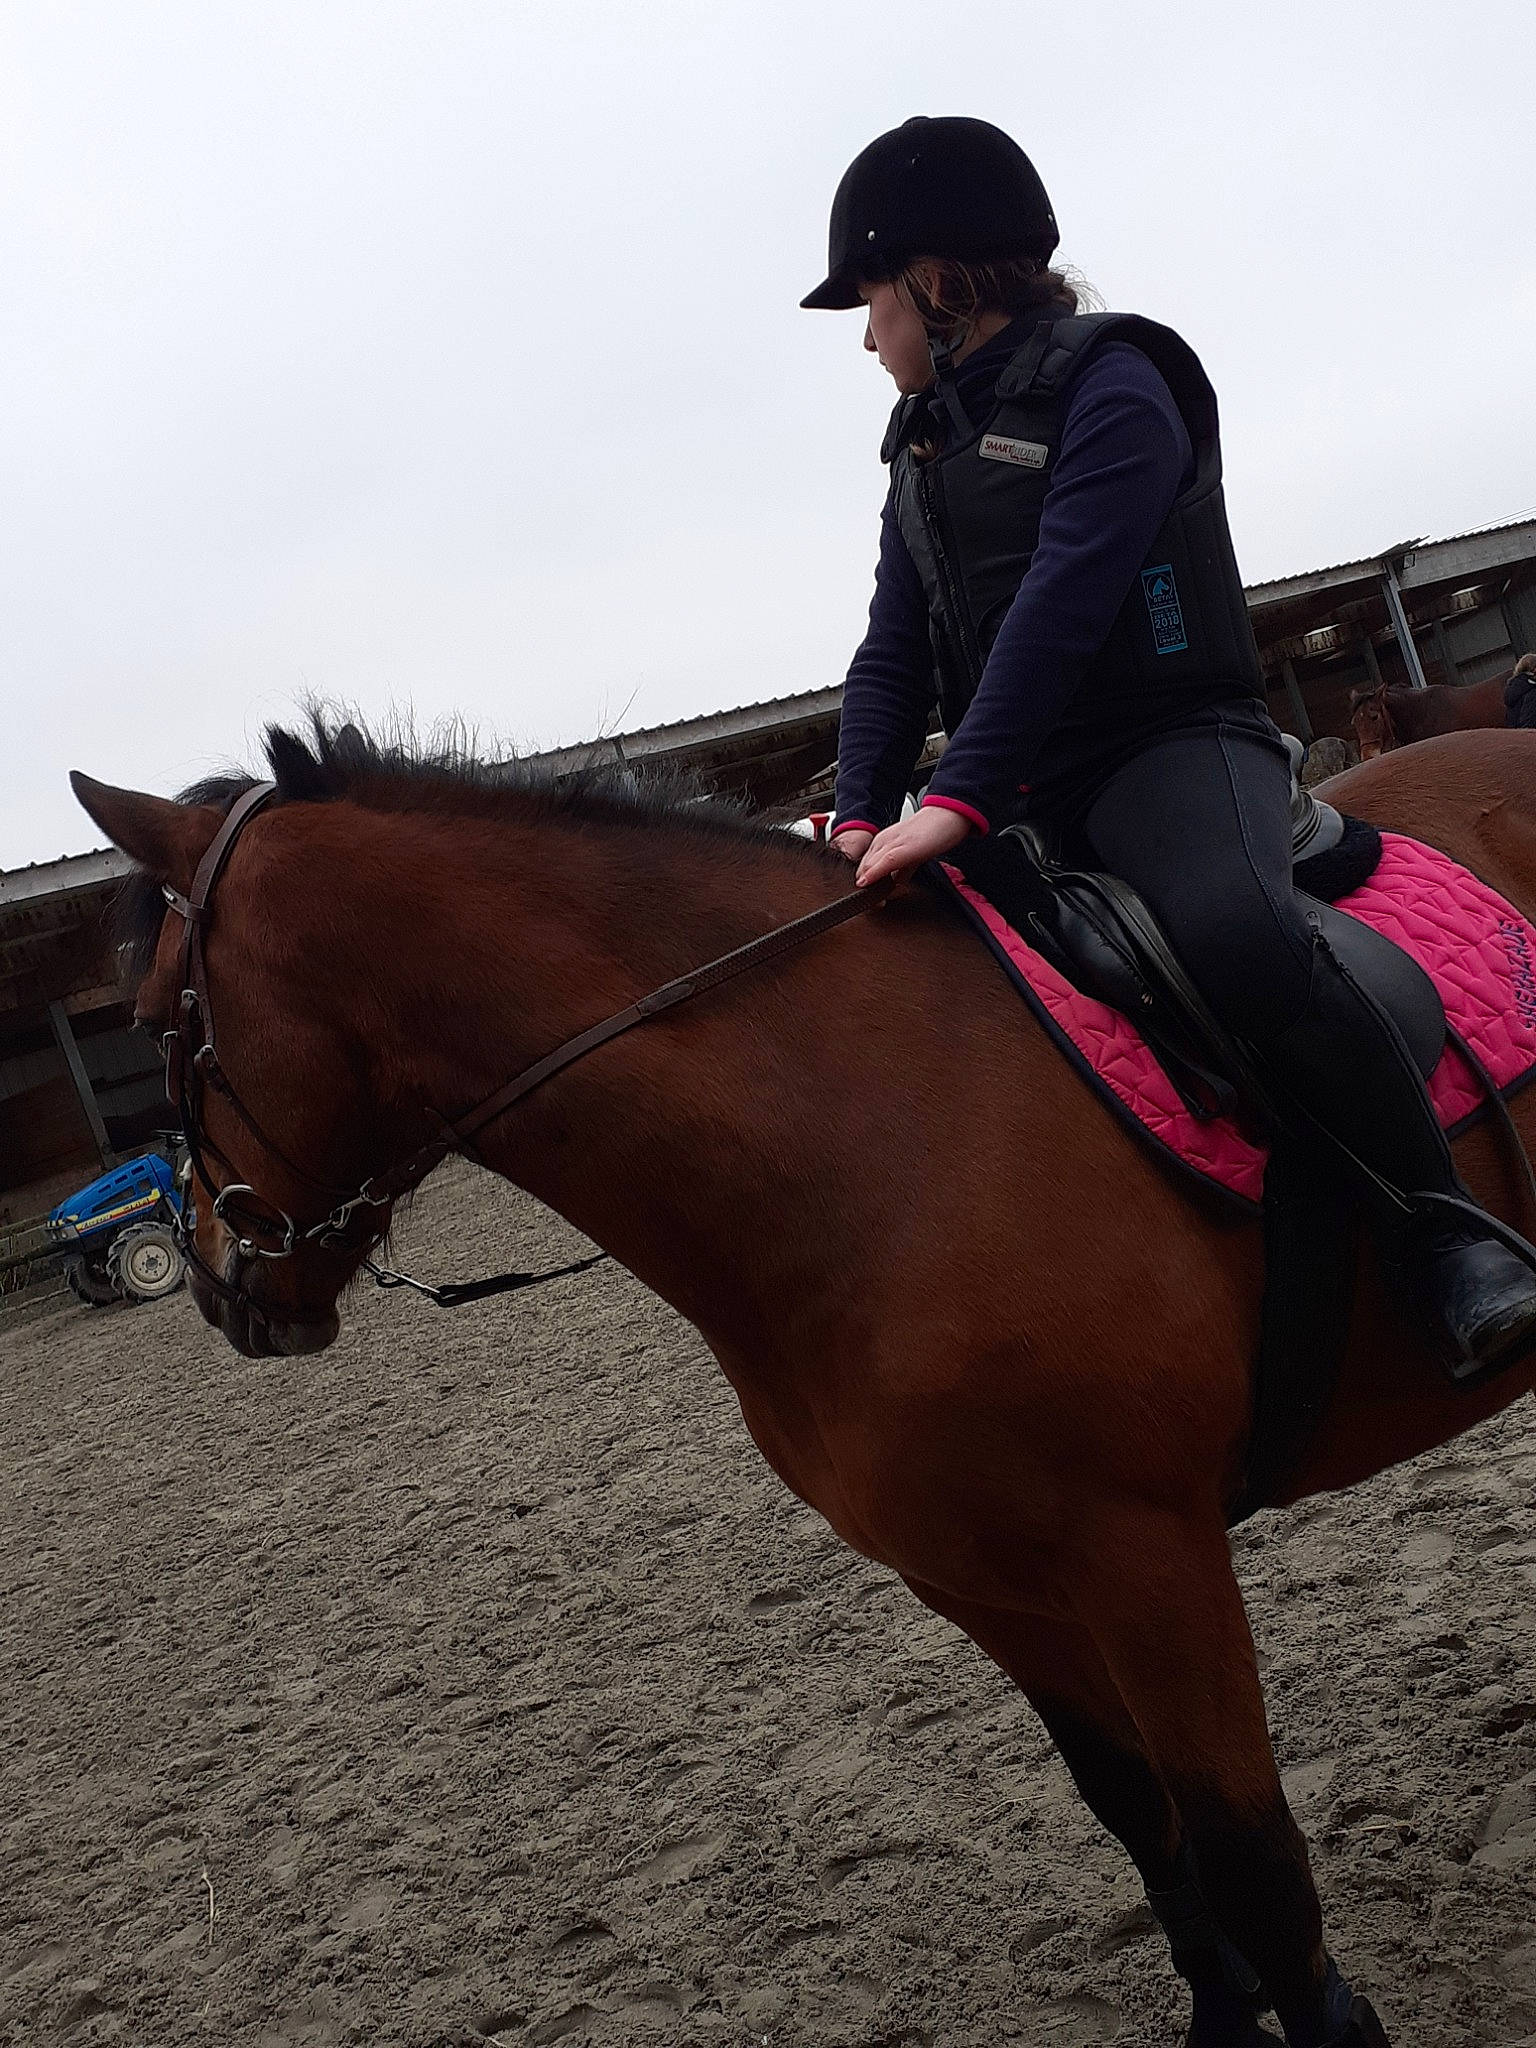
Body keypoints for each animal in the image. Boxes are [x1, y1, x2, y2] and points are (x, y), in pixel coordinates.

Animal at [71, 719, 1536, 2048]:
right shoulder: (978, 1575)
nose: (215, 1285)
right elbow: (1136, 1814)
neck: (861, 1124)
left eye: (151, 1026)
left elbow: (1254, 1860)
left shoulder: (1148, 1558)